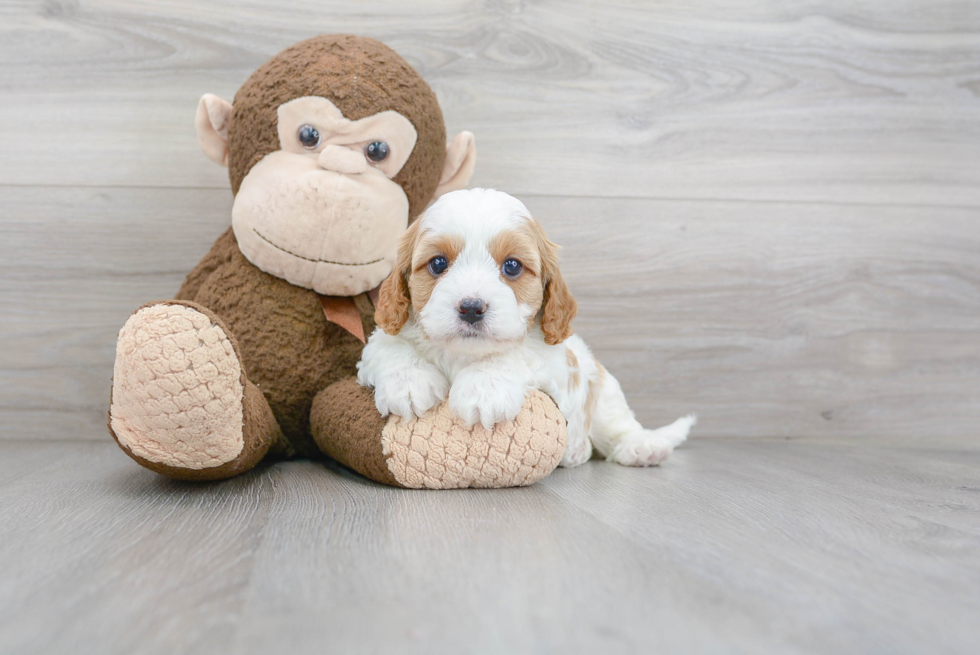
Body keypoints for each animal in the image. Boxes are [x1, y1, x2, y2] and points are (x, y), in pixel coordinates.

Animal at [360, 187, 696, 468]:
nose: (471, 308)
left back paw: (642, 448)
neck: (464, 354)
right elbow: (387, 345)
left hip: (605, 393)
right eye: (438, 263)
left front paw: (484, 388)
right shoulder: (376, 345)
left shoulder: (554, 363)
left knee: (620, 426)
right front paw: (409, 383)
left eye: (512, 266)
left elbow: (517, 353)